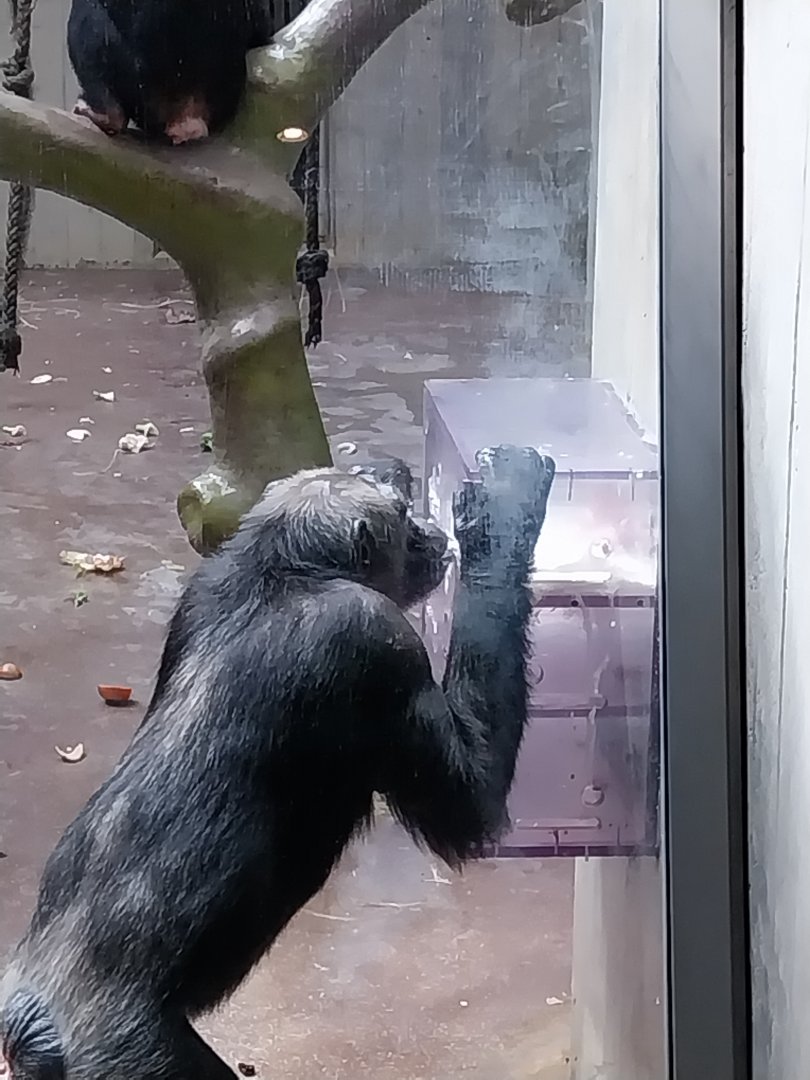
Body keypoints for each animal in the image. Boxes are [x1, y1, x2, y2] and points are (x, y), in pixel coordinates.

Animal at [0, 446, 555, 1080]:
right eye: (400, 517)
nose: (425, 529)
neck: (285, 574)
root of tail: (30, 1020)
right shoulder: (372, 638)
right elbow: (470, 808)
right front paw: (503, 508)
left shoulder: (200, 590)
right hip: (131, 1059)